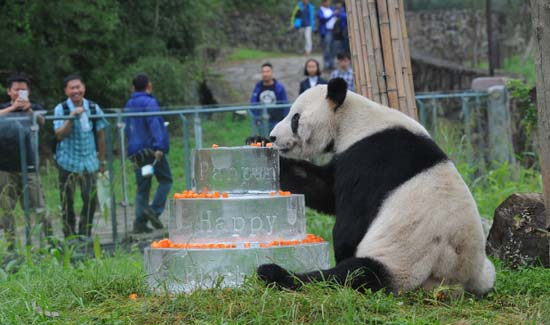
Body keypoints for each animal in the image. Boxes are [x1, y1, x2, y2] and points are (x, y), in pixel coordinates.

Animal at [256, 77, 498, 294]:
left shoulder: (371, 158)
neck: (354, 121)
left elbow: (350, 223)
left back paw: (274, 273)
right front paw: (257, 144)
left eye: (295, 118)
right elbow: (320, 188)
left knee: (355, 274)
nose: (274, 136)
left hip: (402, 263)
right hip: (484, 270)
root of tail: (453, 282)